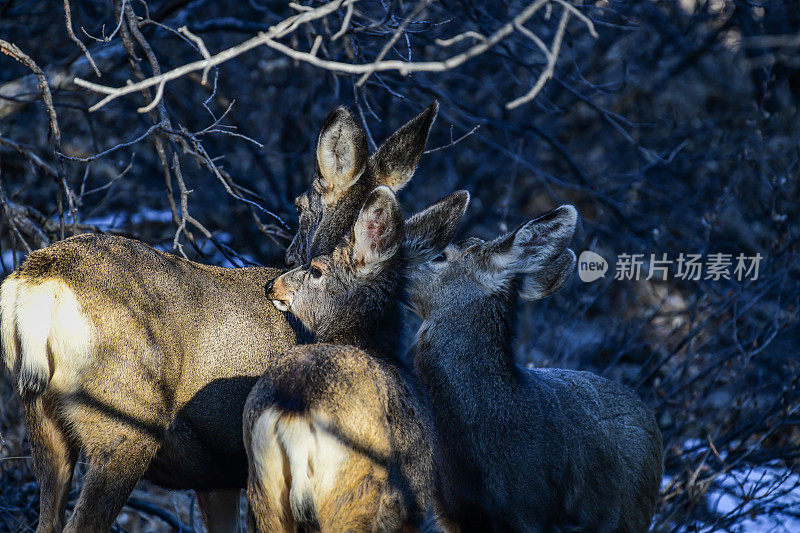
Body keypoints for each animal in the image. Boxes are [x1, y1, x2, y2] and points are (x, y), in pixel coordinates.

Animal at [0, 101, 438, 532]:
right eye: (298, 204)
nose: (289, 259)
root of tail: (40, 279)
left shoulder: (216, 478)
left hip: (39, 411)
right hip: (123, 421)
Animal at [244, 185, 468, 528]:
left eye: (316, 270)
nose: (271, 285)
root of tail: (294, 415)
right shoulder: (411, 510)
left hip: (262, 490)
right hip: (354, 493)